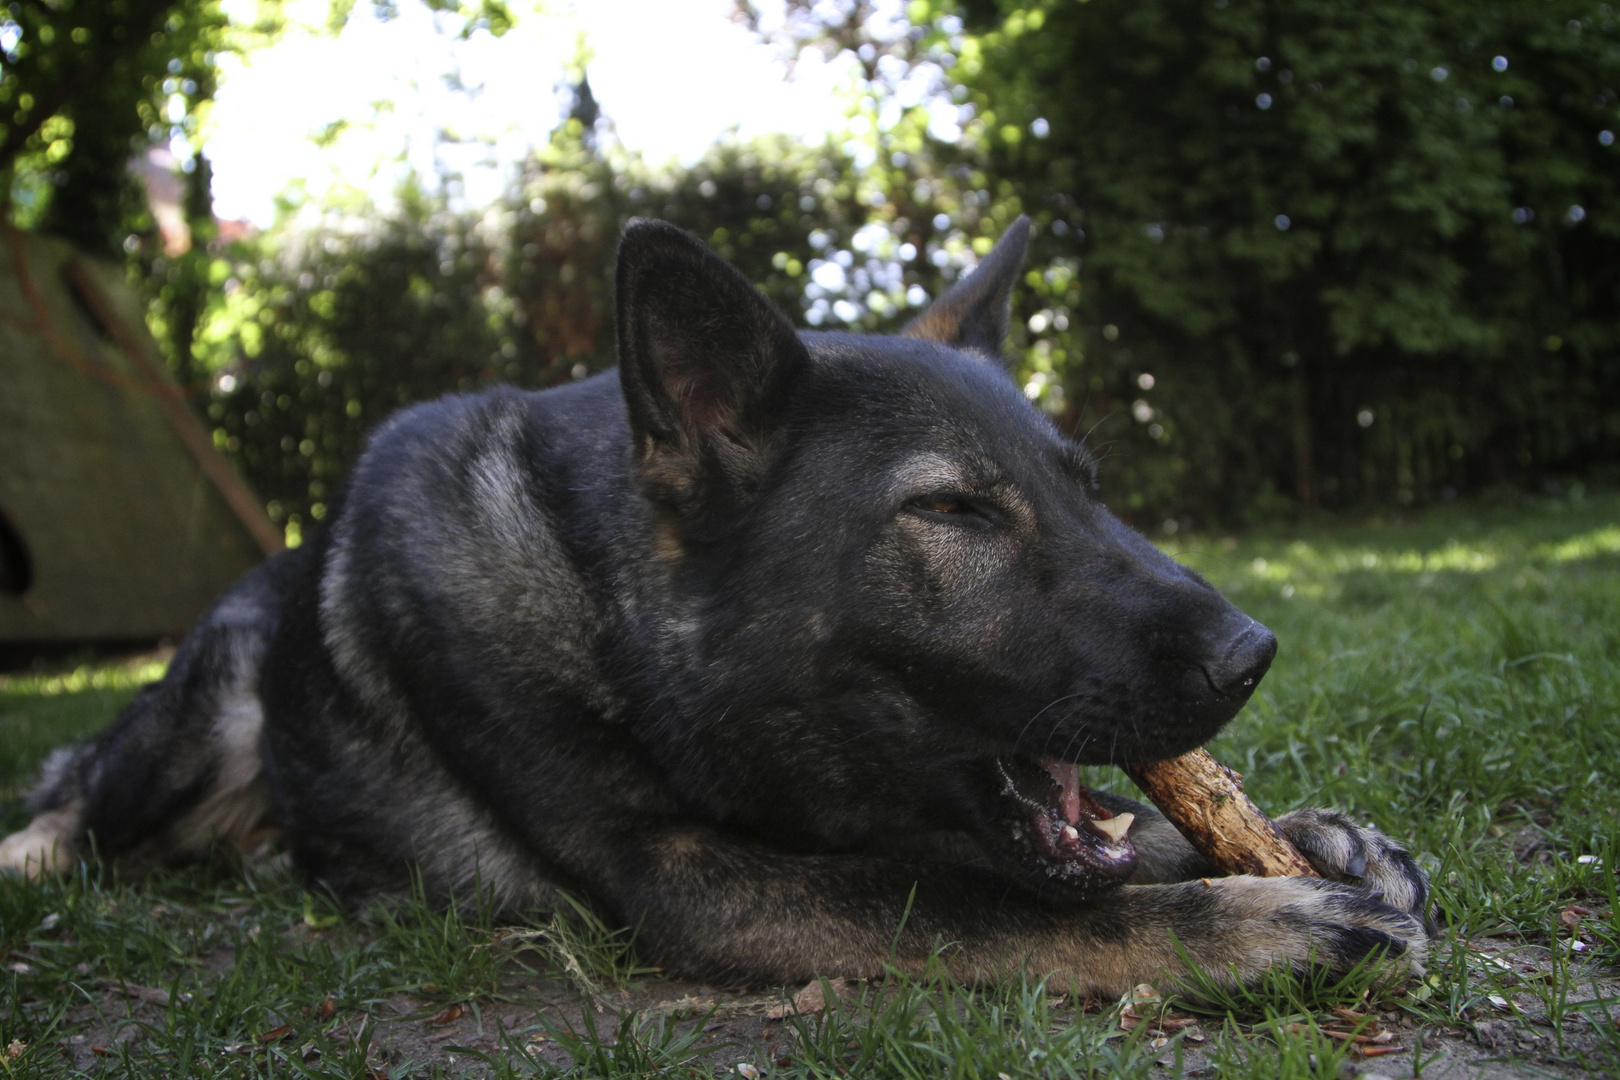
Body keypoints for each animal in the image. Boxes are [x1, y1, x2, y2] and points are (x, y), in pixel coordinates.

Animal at [0, 220, 1432, 997]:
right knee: (74, 798)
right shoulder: (691, 880)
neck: (612, 607)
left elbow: (1083, 845)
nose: (1251, 655)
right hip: (201, 725)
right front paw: (1248, 923)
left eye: (1087, 490)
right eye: (956, 513)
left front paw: (1297, 840)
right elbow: (976, 902)